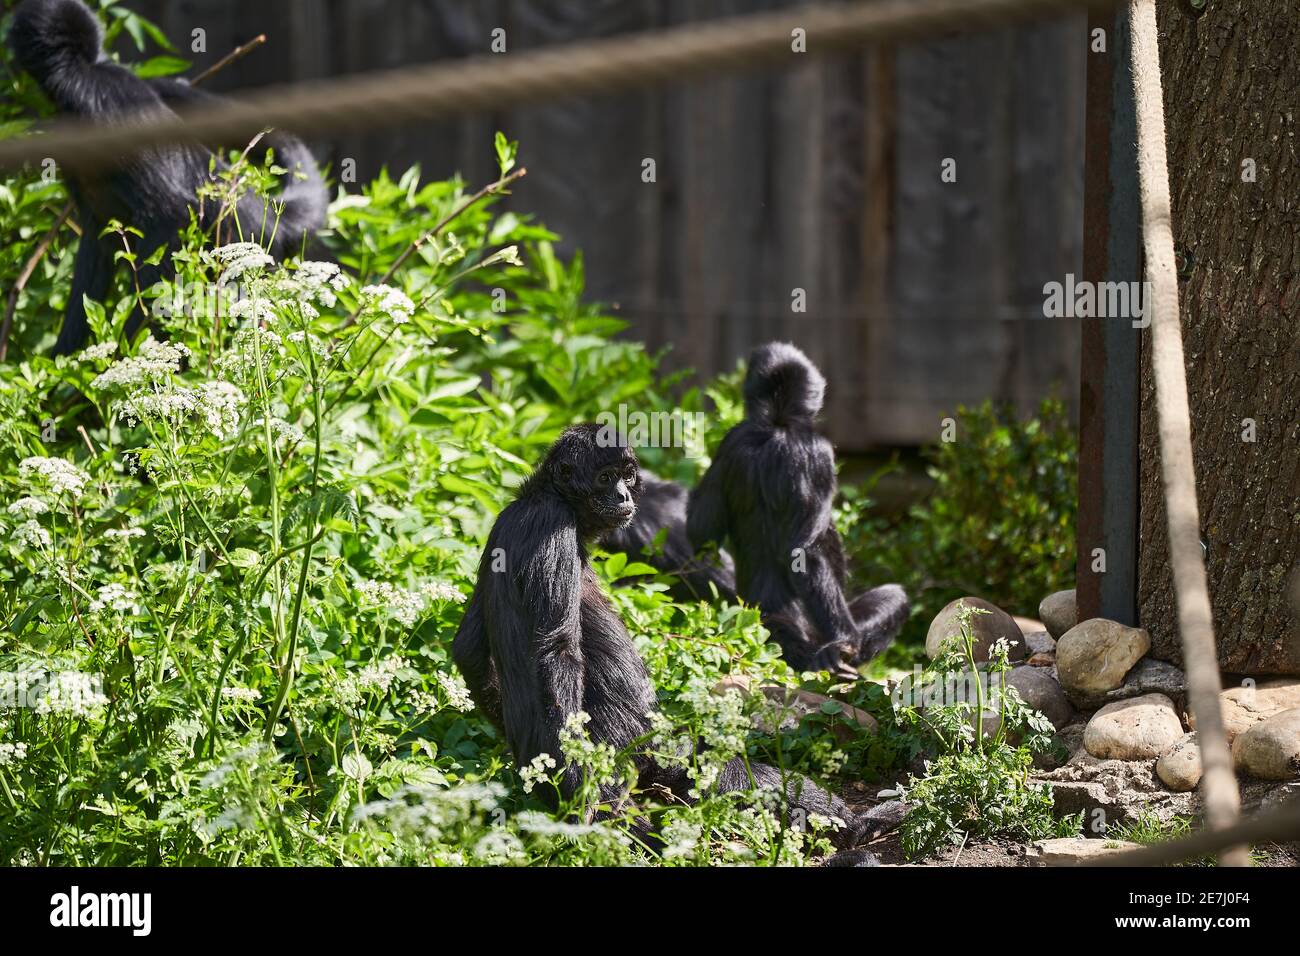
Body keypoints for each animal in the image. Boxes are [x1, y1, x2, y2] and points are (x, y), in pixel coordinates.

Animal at [686, 343, 909, 681]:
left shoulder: (731, 440)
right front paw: (842, 644)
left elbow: (701, 535)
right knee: (896, 597)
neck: (777, 424)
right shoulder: (817, 451)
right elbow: (804, 551)